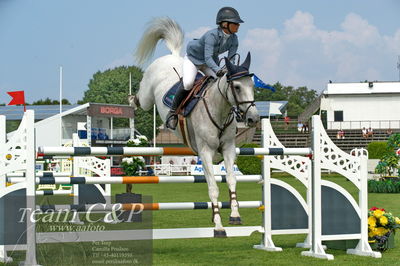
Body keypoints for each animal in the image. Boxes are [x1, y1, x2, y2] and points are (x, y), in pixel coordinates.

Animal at [129, 17, 260, 237]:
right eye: (237, 87)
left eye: (252, 86)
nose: (253, 118)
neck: (219, 108)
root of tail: (173, 56)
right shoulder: (205, 151)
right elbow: (213, 187)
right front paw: (218, 226)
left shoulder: (228, 148)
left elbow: (231, 180)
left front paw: (234, 215)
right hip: (147, 96)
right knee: (141, 99)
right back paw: (131, 101)